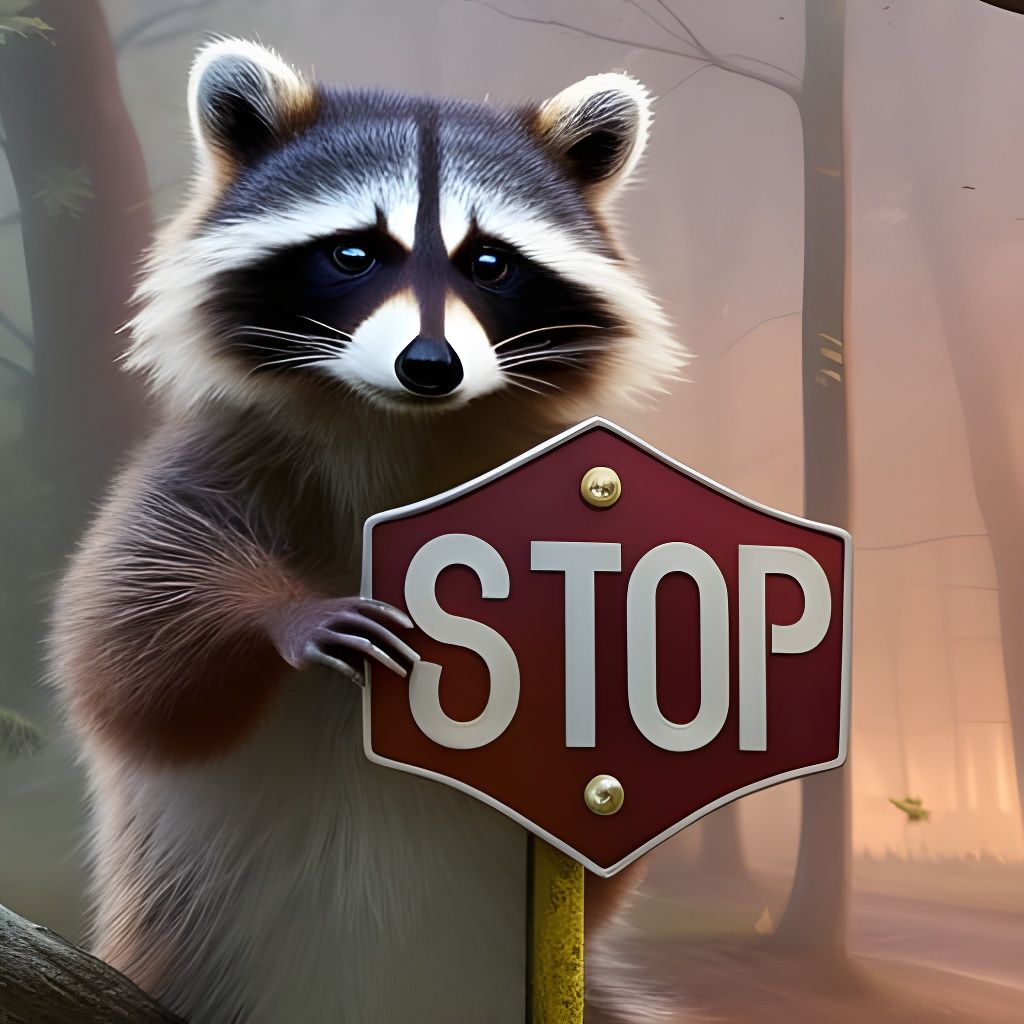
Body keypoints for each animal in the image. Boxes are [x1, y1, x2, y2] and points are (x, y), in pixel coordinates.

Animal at [52, 39, 684, 1023]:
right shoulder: (208, 458)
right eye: (353, 253)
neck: (396, 424)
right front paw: (285, 615)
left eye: (489, 263)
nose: (430, 365)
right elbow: (128, 649)